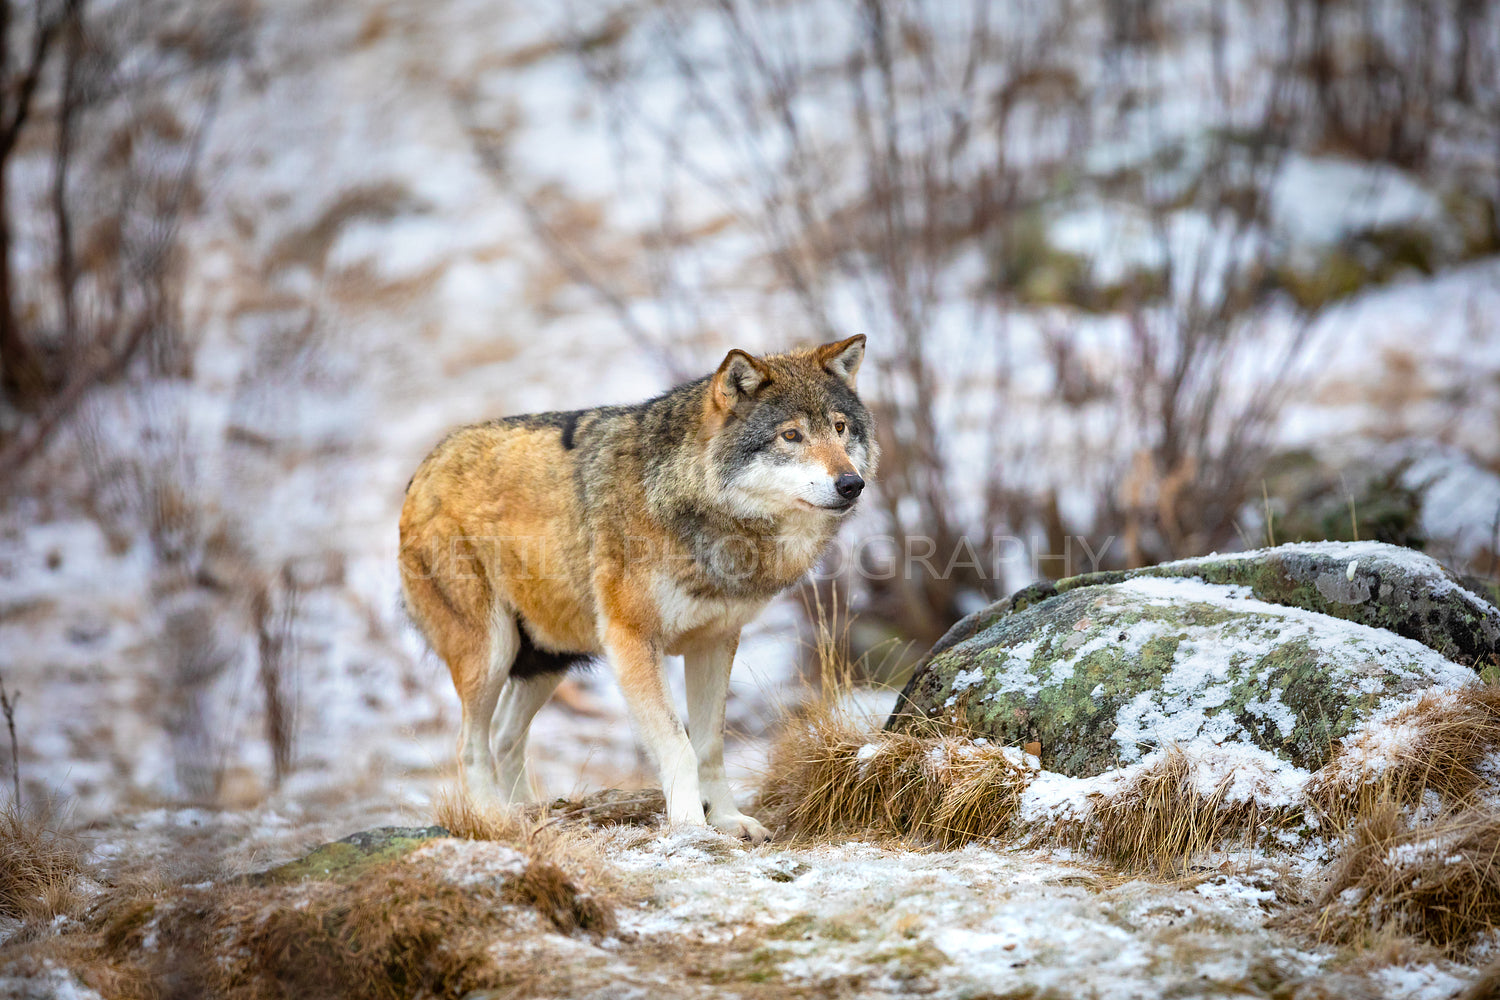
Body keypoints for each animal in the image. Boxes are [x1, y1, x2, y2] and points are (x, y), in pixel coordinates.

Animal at [399, 338, 876, 845]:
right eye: (791, 436)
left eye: (840, 428)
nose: (852, 483)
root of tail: (427, 463)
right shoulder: (632, 642)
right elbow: (678, 745)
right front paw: (690, 827)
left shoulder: (715, 642)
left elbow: (709, 746)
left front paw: (728, 821)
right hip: (493, 654)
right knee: (469, 745)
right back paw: (493, 820)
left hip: (549, 658)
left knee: (507, 736)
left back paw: (529, 816)